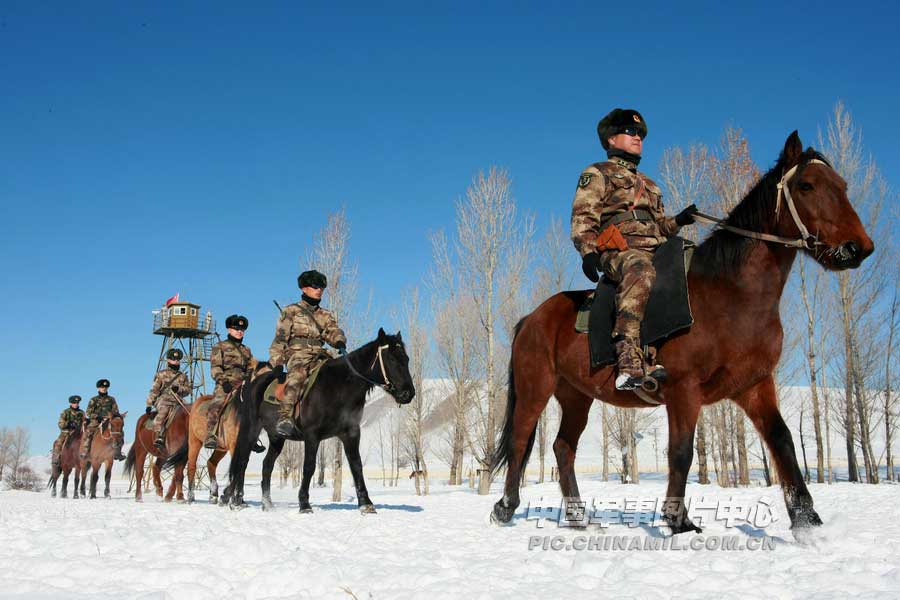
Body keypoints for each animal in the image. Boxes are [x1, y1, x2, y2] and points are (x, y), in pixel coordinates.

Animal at [225, 330, 414, 512]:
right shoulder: (312, 435)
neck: (338, 387)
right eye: (391, 358)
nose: (408, 393)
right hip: (251, 429)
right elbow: (309, 467)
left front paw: (366, 503)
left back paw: (267, 504)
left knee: (267, 465)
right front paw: (304, 504)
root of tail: (251, 384)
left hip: (277, 437)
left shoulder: (351, 433)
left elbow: (356, 465)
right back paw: (236, 501)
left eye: (406, 359)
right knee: (242, 461)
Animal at [488, 132, 876, 536]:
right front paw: (679, 522)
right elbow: (681, 453)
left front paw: (806, 519)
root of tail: (531, 318)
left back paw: (580, 518)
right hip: (535, 387)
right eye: (806, 185)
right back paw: (505, 508)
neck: (729, 294)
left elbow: (781, 440)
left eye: (842, 186)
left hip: (577, 395)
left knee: (564, 447)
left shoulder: (755, 385)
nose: (858, 248)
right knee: (519, 440)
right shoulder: (683, 390)